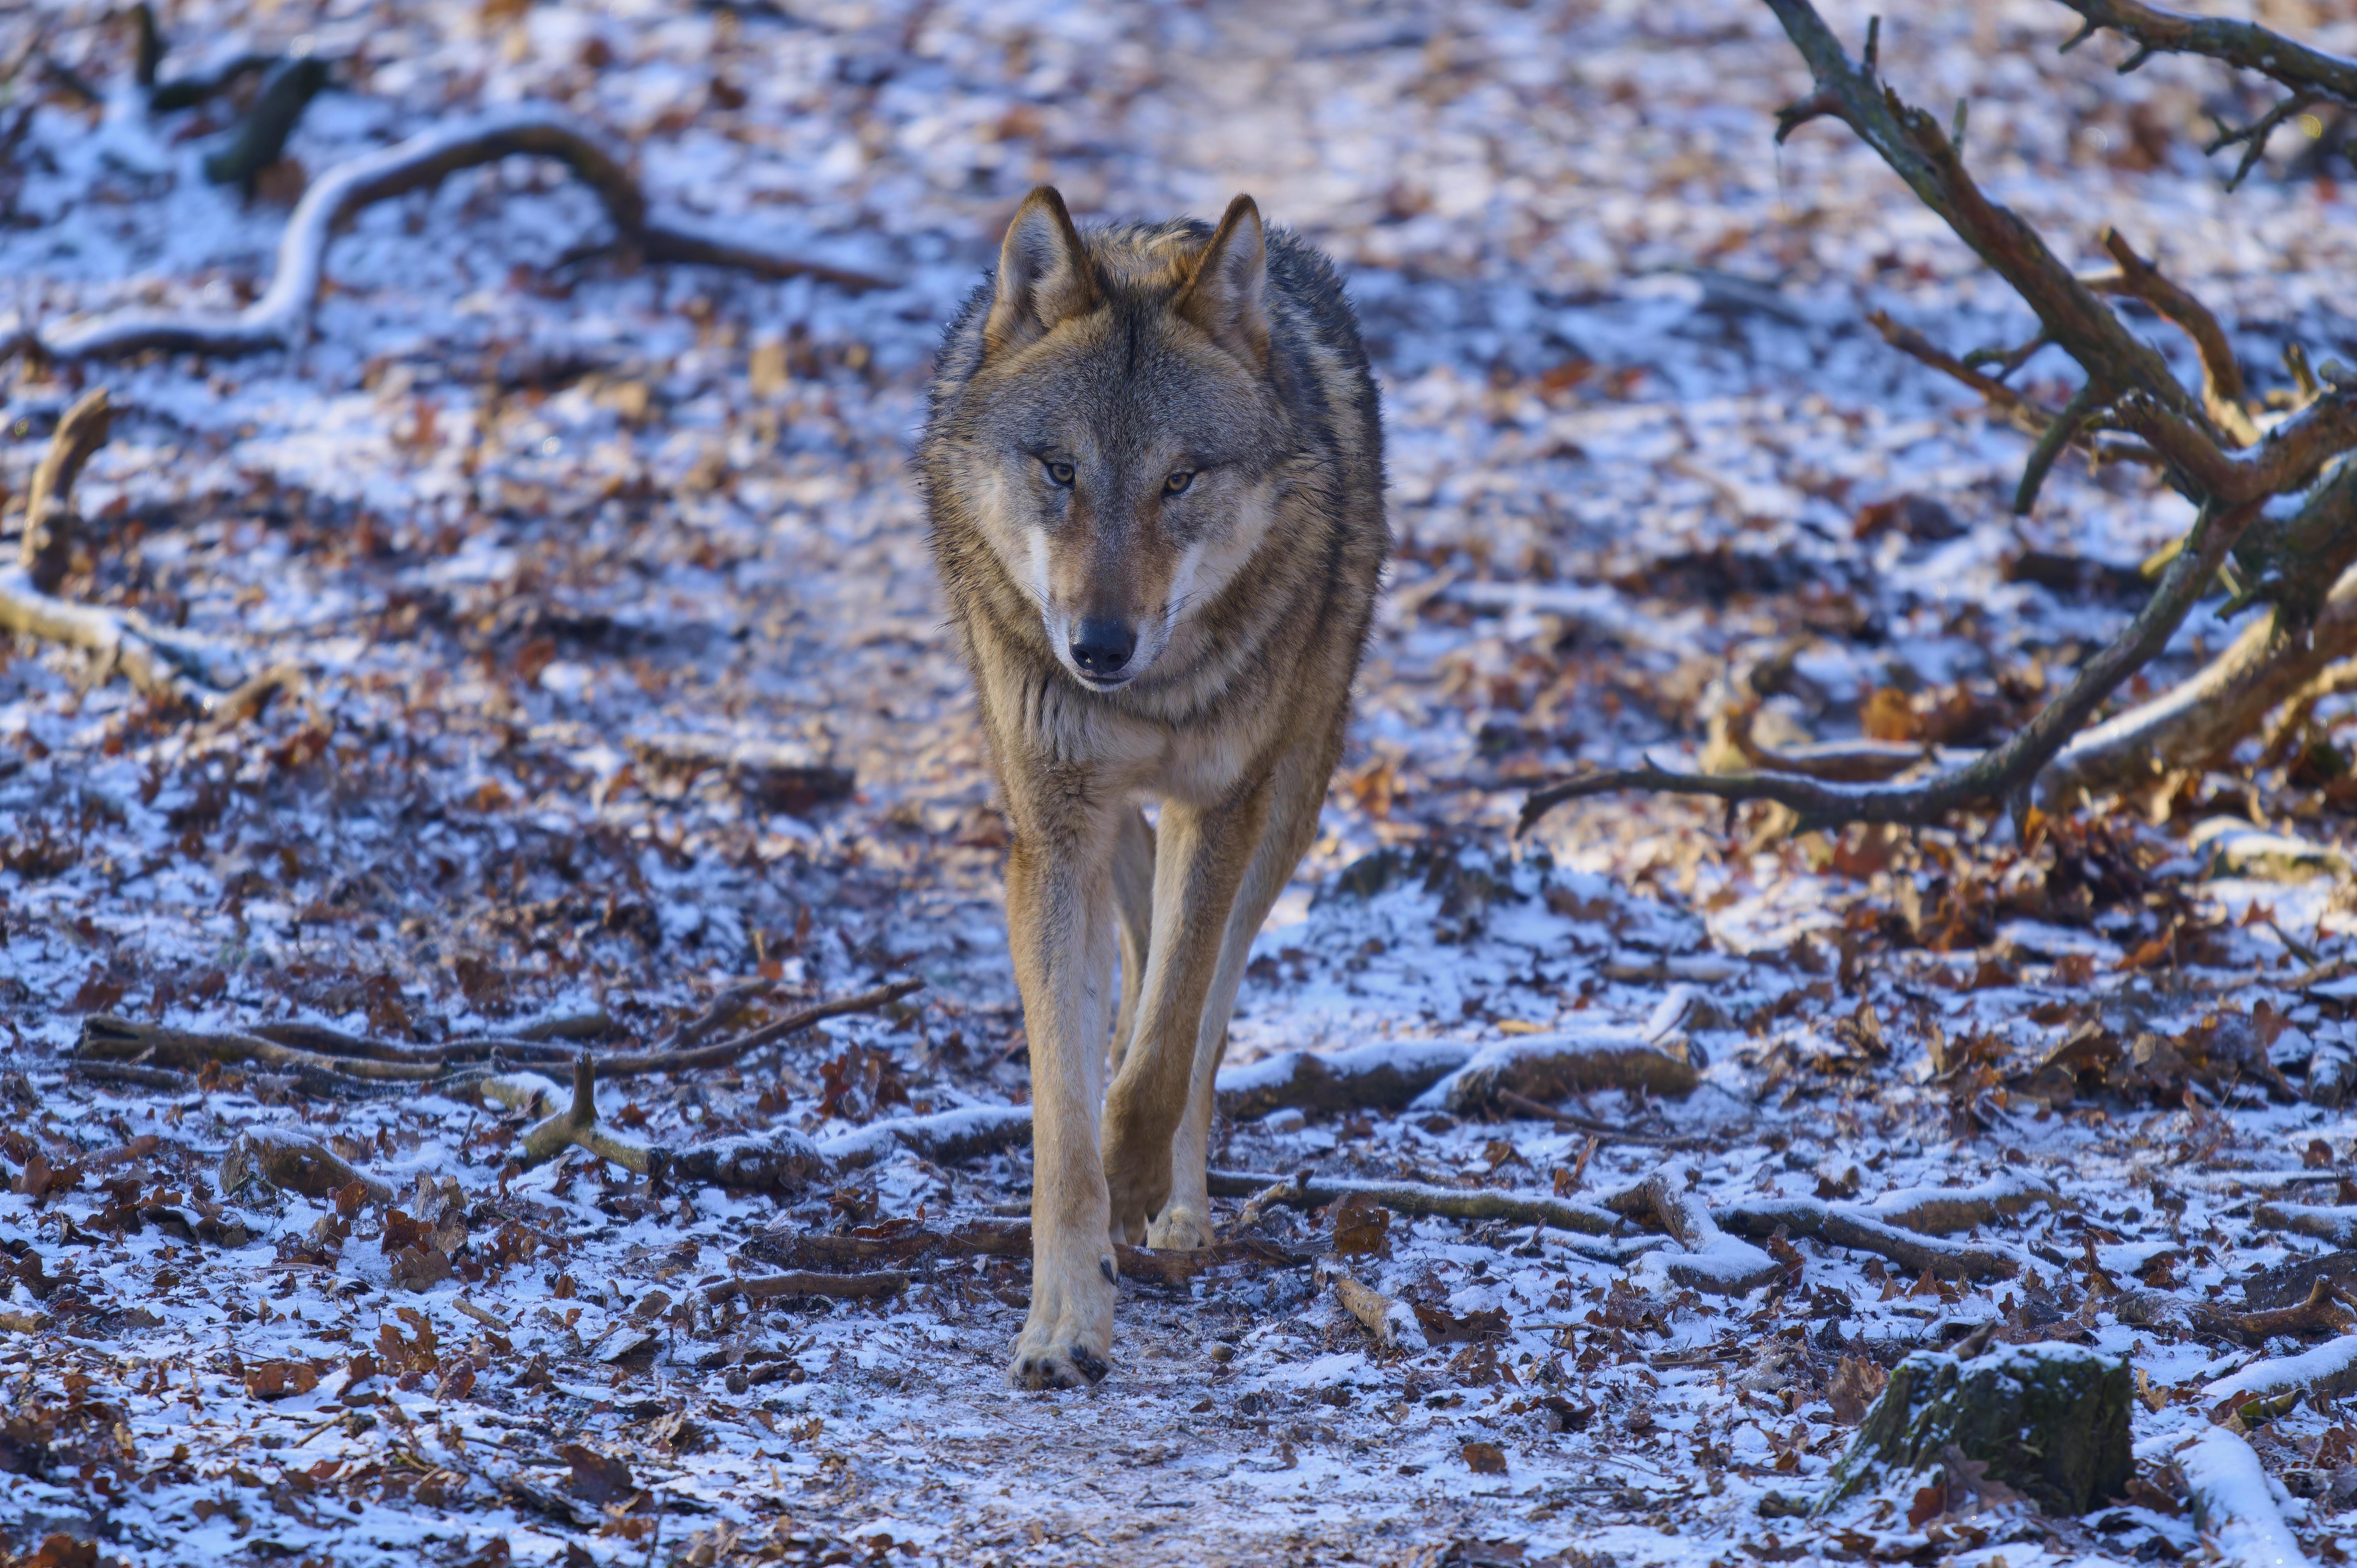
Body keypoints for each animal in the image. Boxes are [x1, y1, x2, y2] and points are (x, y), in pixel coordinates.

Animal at [920, 187, 1388, 1389]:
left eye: (1180, 480)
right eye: (1060, 469)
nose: (1099, 647)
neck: (1150, 700)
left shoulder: (1222, 806)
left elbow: (1166, 1048)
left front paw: (1135, 1186)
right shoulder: (1054, 841)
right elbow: (1065, 1121)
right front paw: (1062, 1323)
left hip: (1285, 805)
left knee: (1205, 1013)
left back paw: (1181, 1214)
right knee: (1135, 970)